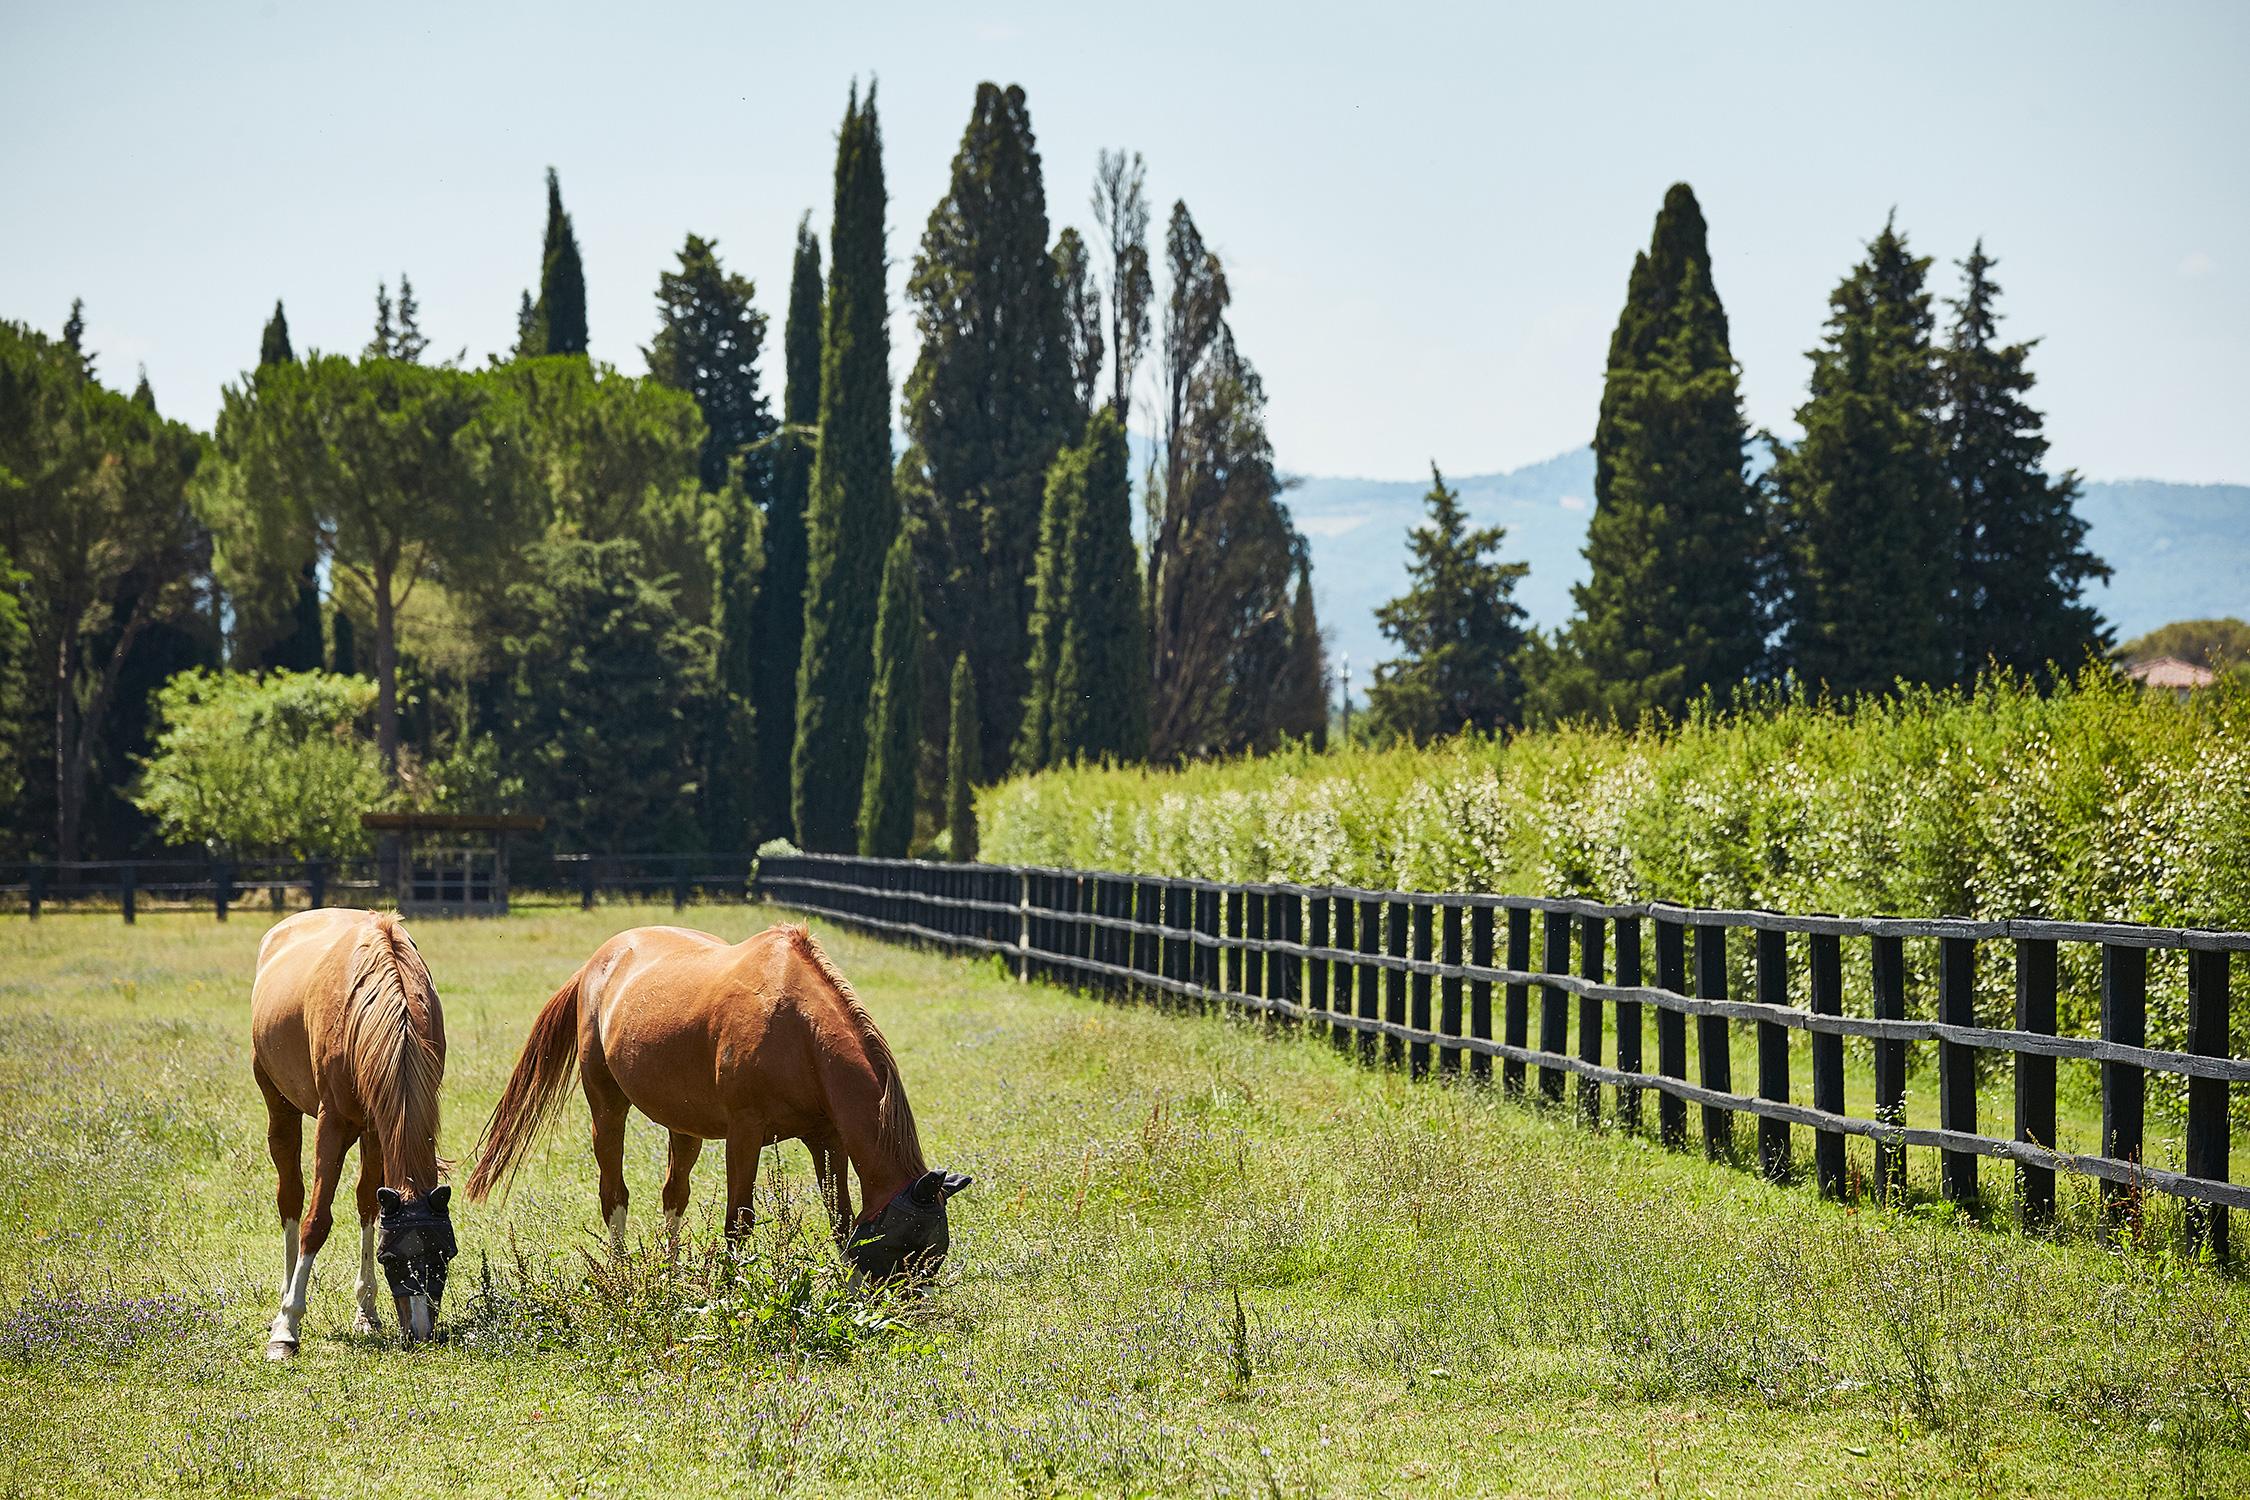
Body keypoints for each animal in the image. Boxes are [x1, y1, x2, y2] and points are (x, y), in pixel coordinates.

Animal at [253, 904, 454, 1358]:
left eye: (445, 1255)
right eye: (391, 1259)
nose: (420, 1333)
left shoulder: (378, 1127)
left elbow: (369, 1207)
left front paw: (366, 1312)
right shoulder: (333, 1123)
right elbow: (316, 1221)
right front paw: (287, 1326)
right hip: (278, 1104)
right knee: (291, 1199)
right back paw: (284, 1298)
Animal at [465, 926, 967, 1277]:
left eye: (935, 1254)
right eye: (908, 1246)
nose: (905, 1310)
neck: (798, 1031)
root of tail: (597, 964)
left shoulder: (827, 1139)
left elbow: (841, 1219)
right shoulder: (744, 1135)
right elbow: (738, 1222)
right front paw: (731, 1288)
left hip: (683, 1127)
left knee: (674, 1195)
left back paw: (671, 1276)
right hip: (607, 1109)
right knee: (614, 1194)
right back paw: (624, 1274)